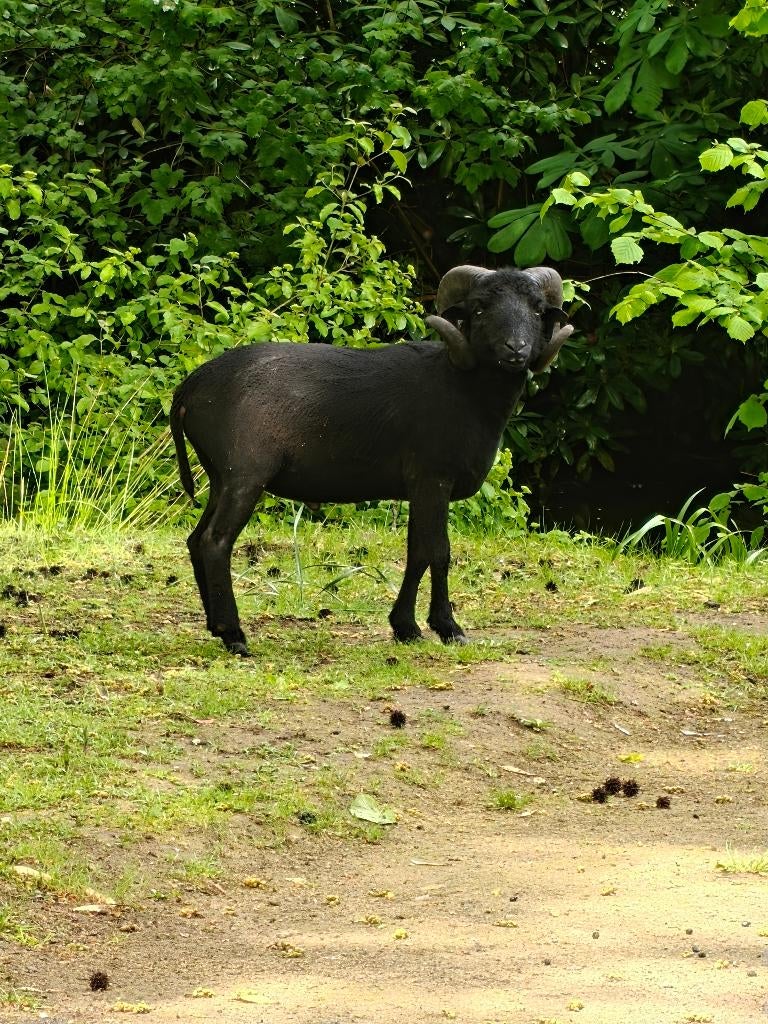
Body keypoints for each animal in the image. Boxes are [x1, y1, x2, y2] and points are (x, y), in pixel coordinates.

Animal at [171, 265, 573, 655]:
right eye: (479, 309)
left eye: (538, 309)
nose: (516, 349)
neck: (462, 387)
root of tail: (191, 387)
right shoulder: (433, 480)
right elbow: (439, 553)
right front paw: (449, 628)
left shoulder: (419, 488)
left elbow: (417, 553)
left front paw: (406, 628)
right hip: (244, 474)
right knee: (216, 542)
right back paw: (234, 634)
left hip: (220, 477)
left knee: (195, 539)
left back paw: (216, 627)